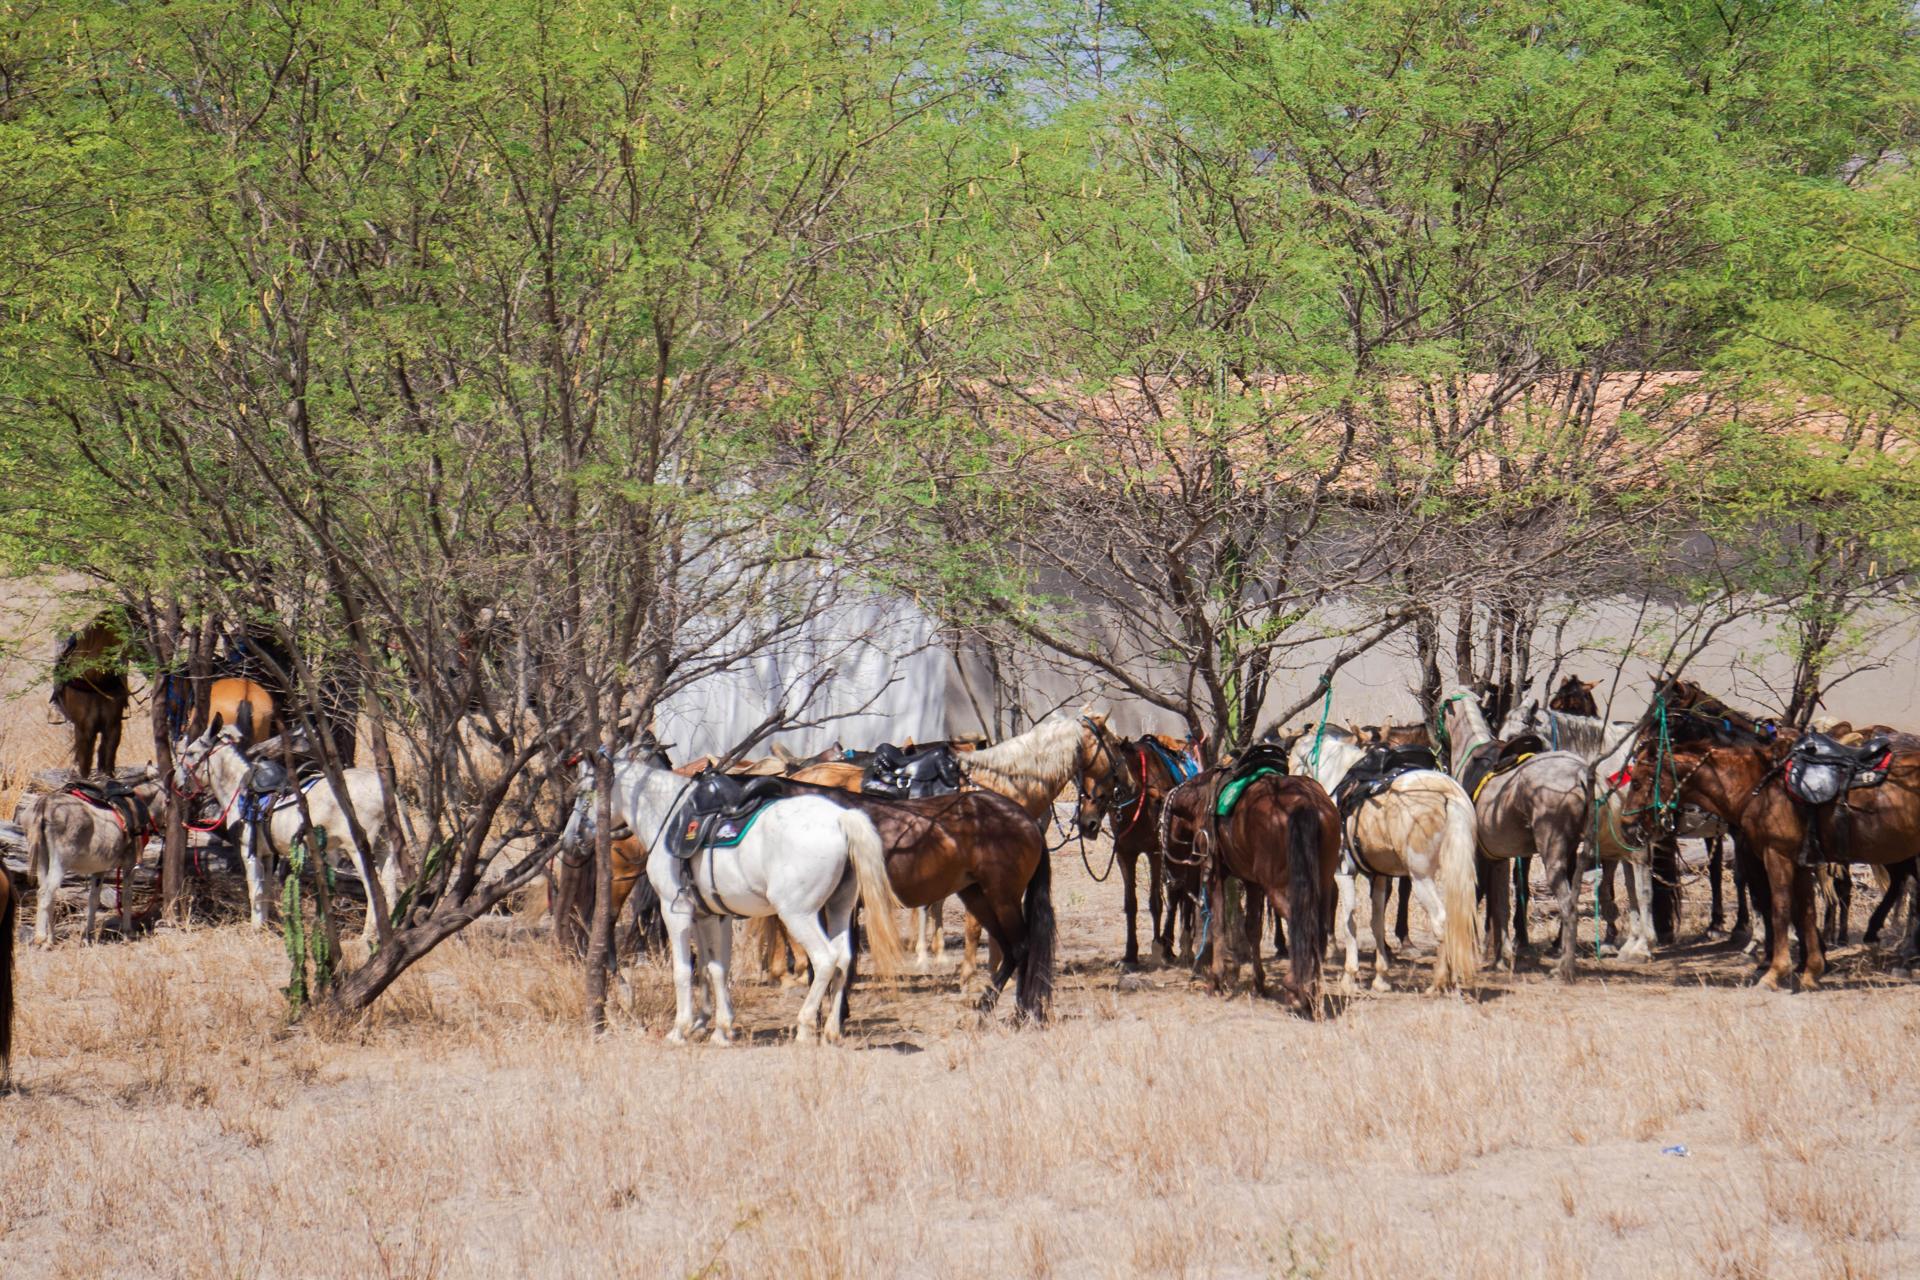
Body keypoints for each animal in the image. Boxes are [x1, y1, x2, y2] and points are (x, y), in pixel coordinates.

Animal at [25, 768, 165, 946]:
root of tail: (45, 804)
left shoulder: (99, 869)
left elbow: (93, 899)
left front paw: (88, 936)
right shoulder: (130, 865)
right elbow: (127, 897)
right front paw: (127, 934)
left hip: (43, 858)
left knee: (48, 893)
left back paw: (51, 939)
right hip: (61, 862)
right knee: (45, 893)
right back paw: (41, 937)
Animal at [175, 716, 397, 942]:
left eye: (190, 752)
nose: (177, 783)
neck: (241, 788)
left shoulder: (249, 851)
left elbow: (254, 892)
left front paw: (255, 930)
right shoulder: (267, 854)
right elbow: (265, 893)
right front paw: (265, 926)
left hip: (358, 847)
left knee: (374, 888)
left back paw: (368, 936)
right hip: (384, 844)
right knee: (390, 887)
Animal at [611, 757, 906, 1044]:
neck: (669, 816)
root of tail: (841, 818)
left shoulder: (676, 911)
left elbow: (684, 971)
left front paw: (680, 1030)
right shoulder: (711, 915)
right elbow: (714, 967)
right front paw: (717, 1029)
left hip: (798, 914)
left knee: (825, 959)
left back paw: (805, 1027)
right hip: (839, 907)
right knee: (843, 959)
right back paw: (832, 1030)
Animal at [1287, 727, 1480, 993]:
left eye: (1291, 763)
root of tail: (1446, 793)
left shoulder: (1343, 873)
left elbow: (1350, 920)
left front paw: (1349, 977)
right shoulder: (1378, 876)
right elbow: (1376, 921)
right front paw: (1381, 977)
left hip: (1421, 877)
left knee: (1441, 920)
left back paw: (1439, 981)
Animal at [1437, 686, 1595, 979]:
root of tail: (1579, 773)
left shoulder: (1477, 854)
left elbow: (1477, 895)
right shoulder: (1498, 857)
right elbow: (1500, 903)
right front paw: (1501, 956)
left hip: (1553, 853)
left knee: (1567, 905)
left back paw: (1565, 968)